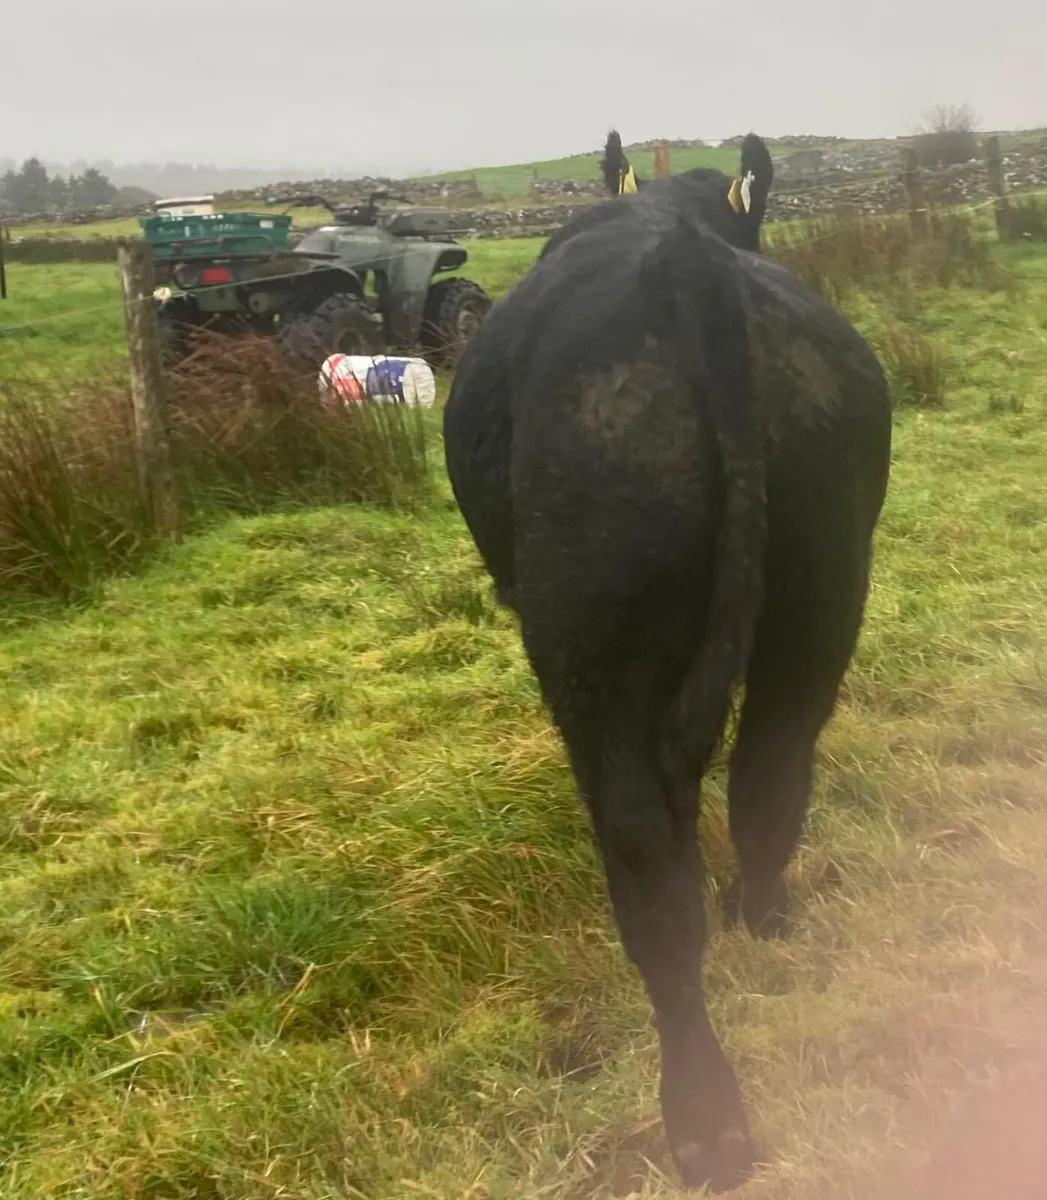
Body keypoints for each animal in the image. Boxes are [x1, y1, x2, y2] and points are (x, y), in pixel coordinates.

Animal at [442, 179, 891, 1191]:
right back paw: (759, 917)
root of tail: (688, 259)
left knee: (648, 863)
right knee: (770, 777)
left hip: (591, 643)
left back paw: (704, 1119)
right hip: (822, 592)